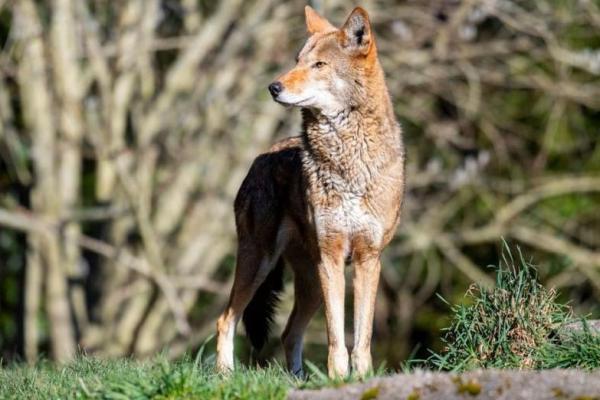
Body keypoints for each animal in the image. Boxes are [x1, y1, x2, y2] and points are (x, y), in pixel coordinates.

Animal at [216, 4, 404, 376]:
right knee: (227, 319)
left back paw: (298, 378)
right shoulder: (331, 257)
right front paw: (338, 378)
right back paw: (225, 376)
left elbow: (361, 339)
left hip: (309, 282)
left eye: (319, 65)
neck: (348, 160)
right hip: (261, 262)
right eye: (297, 60)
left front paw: (359, 378)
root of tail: (262, 155)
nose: (273, 87)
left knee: (289, 333)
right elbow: (336, 337)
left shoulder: (368, 259)